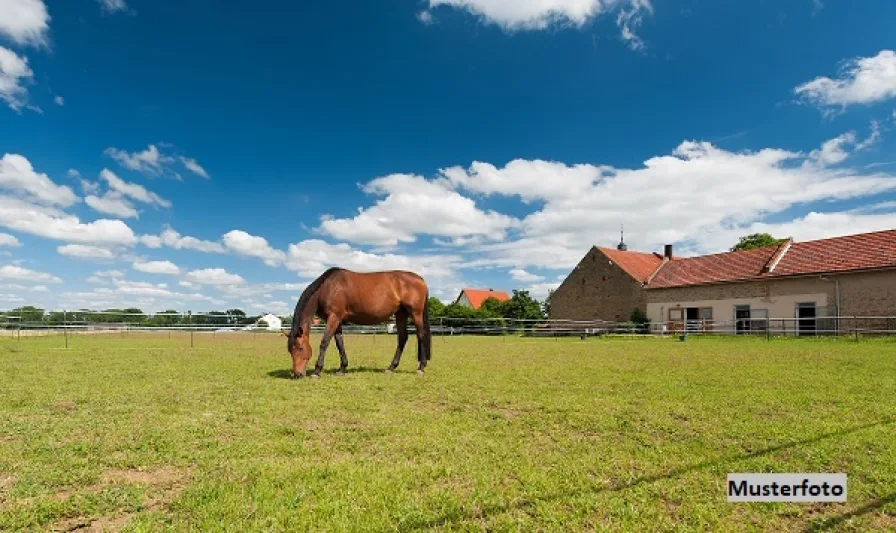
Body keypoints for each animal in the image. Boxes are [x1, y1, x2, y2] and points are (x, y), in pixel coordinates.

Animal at [282, 266, 432, 378]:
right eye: (290, 350)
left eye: (300, 348)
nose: (297, 374)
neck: (328, 287)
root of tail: (420, 279)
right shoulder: (337, 319)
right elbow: (339, 343)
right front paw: (342, 369)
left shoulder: (334, 317)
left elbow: (324, 342)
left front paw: (317, 371)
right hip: (401, 313)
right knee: (402, 338)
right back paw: (391, 368)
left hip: (415, 313)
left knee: (421, 336)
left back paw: (420, 368)